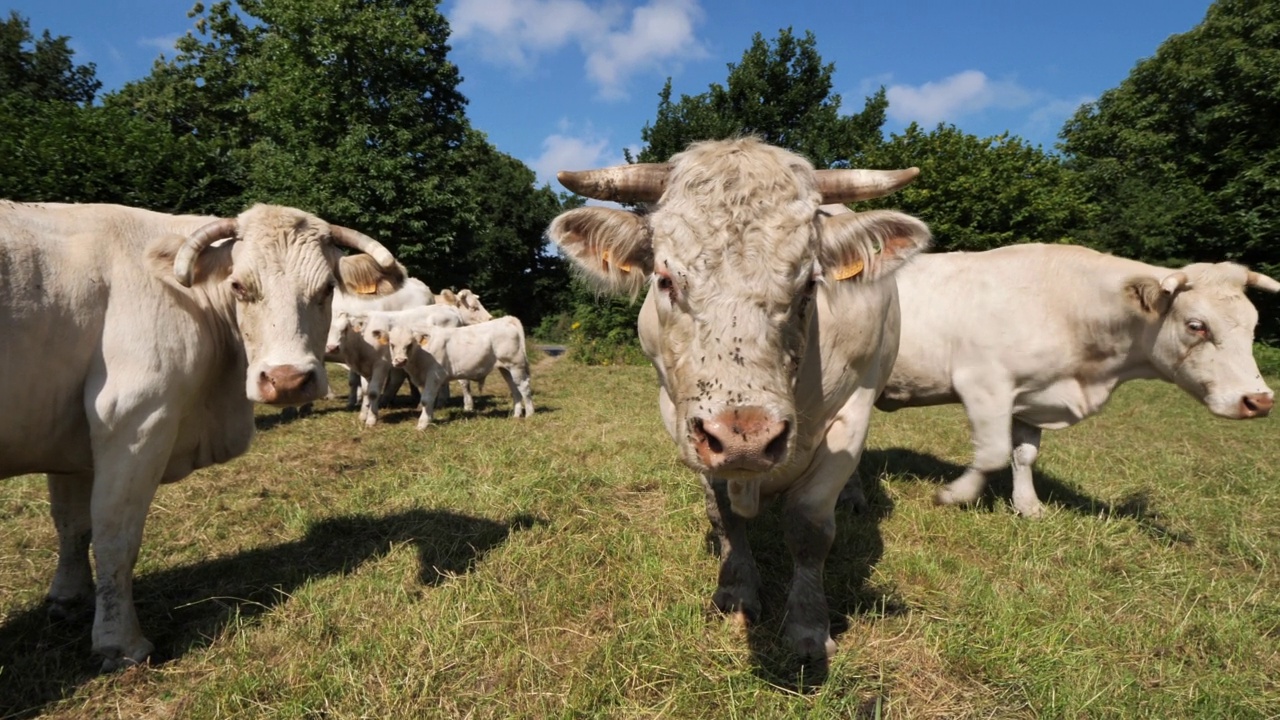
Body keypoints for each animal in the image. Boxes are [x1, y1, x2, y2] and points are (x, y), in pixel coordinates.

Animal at [0, 199, 401, 666]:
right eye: (239, 286)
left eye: (326, 289)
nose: (286, 381)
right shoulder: (134, 421)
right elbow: (115, 536)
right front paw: (121, 643)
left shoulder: (71, 441)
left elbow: (71, 525)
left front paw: (68, 599)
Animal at [384, 313, 535, 425]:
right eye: (392, 344)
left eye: (409, 344)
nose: (400, 361)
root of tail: (505, 319)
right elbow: (428, 399)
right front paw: (429, 419)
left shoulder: (434, 375)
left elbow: (426, 399)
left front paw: (422, 424)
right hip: (506, 368)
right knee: (514, 389)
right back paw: (516, 415)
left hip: (516, 365)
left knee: (524, 387)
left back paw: (529, 414)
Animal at [542, 137, 931, 661]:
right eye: (665, 279)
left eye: (809, 284)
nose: (747, 437)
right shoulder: (684, 419)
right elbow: (723, 513)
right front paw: (737, 592)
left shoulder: (852, 412)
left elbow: (809, 526)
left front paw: (808, 625)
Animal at [875, 240, 1274, 515]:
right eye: (1196, 325)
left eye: (1254, 324)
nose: (1259, 400)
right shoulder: (984, 385)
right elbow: (992, 454)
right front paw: (953, 495)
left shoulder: (1032, 397)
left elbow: (1024, 455)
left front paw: (1028, 505)